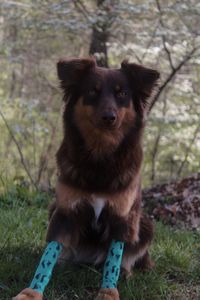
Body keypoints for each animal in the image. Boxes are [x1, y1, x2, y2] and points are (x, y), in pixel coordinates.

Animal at [12, 57, 159, 298]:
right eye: (92, 91)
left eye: (122, 93)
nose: (109, 117)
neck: (100, 155)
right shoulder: (65, 212)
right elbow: (48, 255)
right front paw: (31, 292)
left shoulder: (121, 216)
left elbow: (114, 260)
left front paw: (109, 292)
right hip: (53, 208)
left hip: (144, 222)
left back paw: (125, 272)